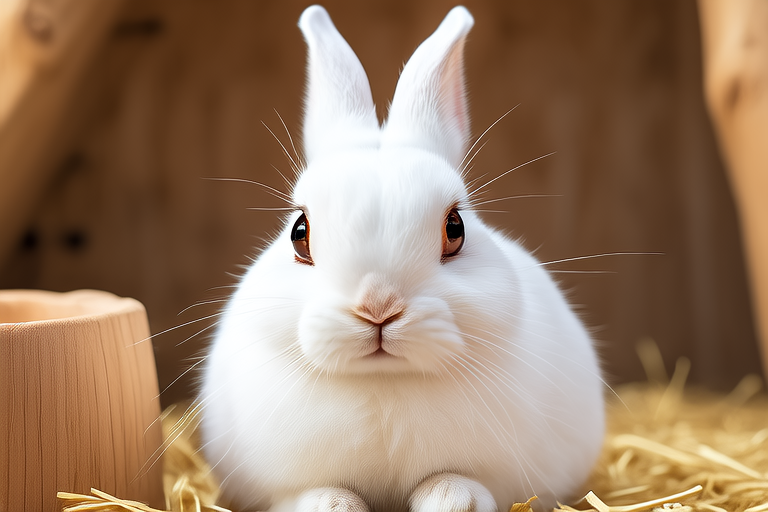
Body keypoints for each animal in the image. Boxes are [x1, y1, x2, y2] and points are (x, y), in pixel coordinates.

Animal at [199, 5, 605, 512]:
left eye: (456, 229)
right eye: (299, 234)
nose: (378, 307)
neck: (385, 384)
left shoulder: (502, 476)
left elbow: (460, 485)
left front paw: (451, 500)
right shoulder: (280, 487)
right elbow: (319, 495)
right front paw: (334, 505)